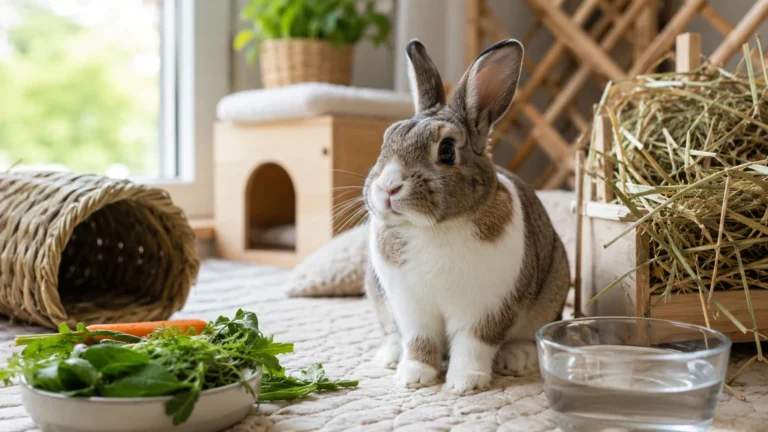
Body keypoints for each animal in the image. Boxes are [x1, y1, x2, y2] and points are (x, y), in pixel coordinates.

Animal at [362, 38, 570, 394]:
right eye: (386, 140)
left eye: (446, 150)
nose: (388, 187)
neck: (434, 229)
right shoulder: (412, 309)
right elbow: (419, 341)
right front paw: (414, 376)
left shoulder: (486, 310)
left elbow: (474, 344)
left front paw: (465, 383)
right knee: (393, 334)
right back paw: (390, 356)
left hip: (553, 286)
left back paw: (517, 359)